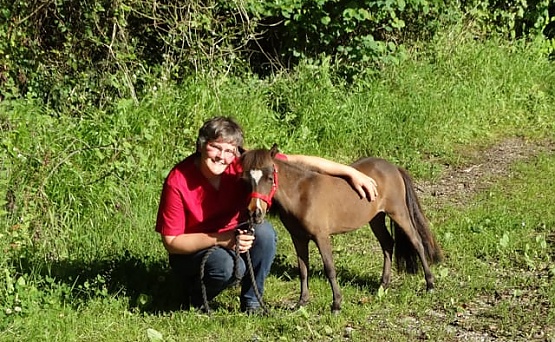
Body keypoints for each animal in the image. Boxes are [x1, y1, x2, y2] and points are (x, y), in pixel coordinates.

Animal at [241, 144, 446, 312]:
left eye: (269, 177)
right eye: (245, 179)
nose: (255, 213)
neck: (301, 195)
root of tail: (393, 167)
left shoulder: (321, 237)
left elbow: (330, 269)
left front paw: (337, 304)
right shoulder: (298, 238)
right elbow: (303, 269)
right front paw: (301, 303)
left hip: (399, 213)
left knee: (417, 242)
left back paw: (430, 284)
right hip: (376, 219)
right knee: (388, 244)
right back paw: (383, 286)